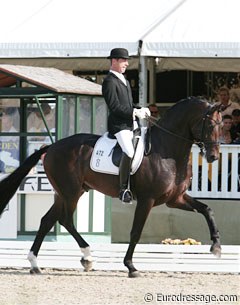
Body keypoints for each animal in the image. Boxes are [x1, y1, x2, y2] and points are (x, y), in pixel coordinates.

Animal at [0, 98, 223, 278]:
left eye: (221, 125)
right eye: (211, 124)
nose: (214, 157)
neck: (167, 150)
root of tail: (52, 147)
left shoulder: (175, 199)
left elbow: (207, 209)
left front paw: (216, 246)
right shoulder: (147, 200)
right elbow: (135, 232)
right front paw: (131, 266)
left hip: (65, 193)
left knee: (47, 221)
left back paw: (35, 263)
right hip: (70, 193)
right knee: (65, 220)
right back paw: (88, 257)